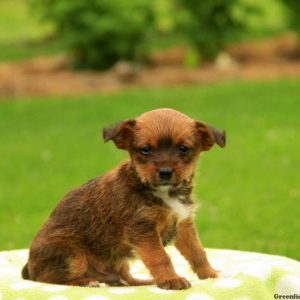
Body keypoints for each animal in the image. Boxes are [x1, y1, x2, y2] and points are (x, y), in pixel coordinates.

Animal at [21, 108, 225, 288]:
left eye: (184, 149)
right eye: (145, 149)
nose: (165, 172)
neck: (163, 193)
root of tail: (29, 268)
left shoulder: (184, 225)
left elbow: (197, 252)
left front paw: (209, 274)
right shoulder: (143, 230)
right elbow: (160, 257)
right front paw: (170, 279)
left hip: (118, 261)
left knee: (123, 278)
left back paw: (142, 281)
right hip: (71, 255)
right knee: (49, 278)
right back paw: (86, 281)